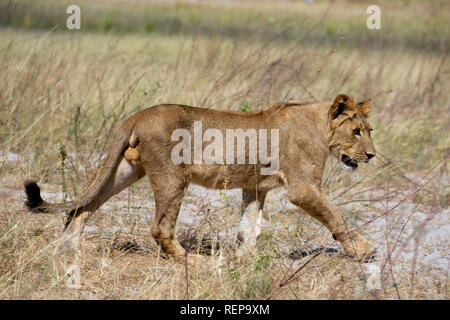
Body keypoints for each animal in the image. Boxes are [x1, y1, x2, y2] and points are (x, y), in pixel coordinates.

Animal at [23, 92, 376, 262]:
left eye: (369, 130)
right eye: (356, 132)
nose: (371, 155)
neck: (322, 128)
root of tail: (136, 116)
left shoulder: (255, 188)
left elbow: (249, 229)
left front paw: (243, 262)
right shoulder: (303, 187)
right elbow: (337, 217)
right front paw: (363, 251)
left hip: (124, 170)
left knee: (81, 208)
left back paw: (68, 250)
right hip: (172, 178)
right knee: (160, 228)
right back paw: (190, 260)